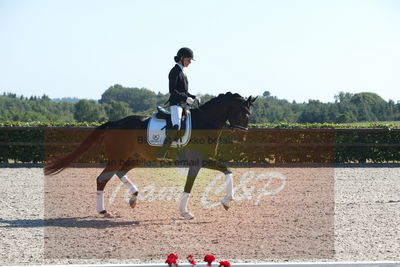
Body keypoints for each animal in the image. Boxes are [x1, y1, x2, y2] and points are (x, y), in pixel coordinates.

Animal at [43, 92, 256, 220]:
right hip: (119, 157)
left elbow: (228, 171)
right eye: (245, 114)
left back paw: (133, 197)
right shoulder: (196, 162)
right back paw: (103, 210)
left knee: (119, 172)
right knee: (102, 179)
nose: (242, 137)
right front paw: (185, 212)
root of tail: (115, 123)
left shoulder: (206, 161)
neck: (204, 122)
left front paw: (226, 202)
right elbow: (189, 186)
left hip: (137, 157)